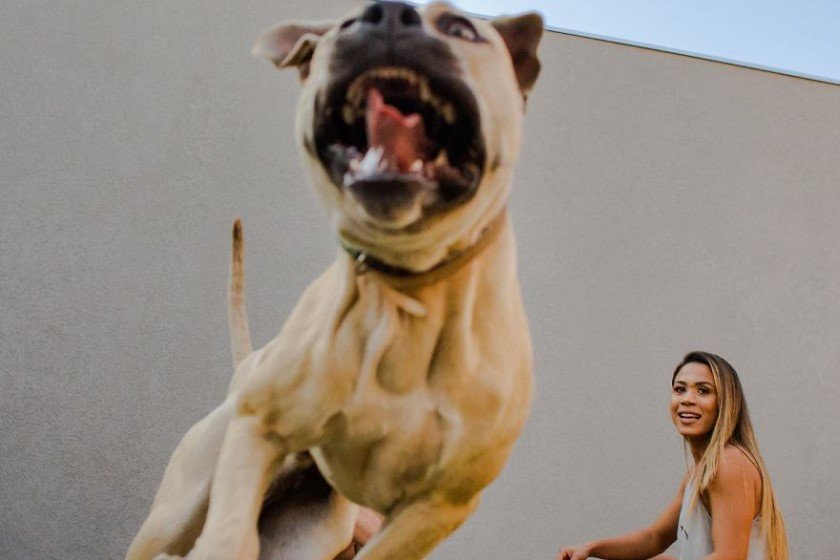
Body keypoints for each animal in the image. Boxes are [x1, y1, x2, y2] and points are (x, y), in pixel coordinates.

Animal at [127, 2, 540, 556]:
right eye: (343, 25)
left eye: (461, 29)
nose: (390, 16)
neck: (407, 290)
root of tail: (249, 365)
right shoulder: (258, 430)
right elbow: (229, 538)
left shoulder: (436, 507)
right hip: (178, 509)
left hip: (308, 532)